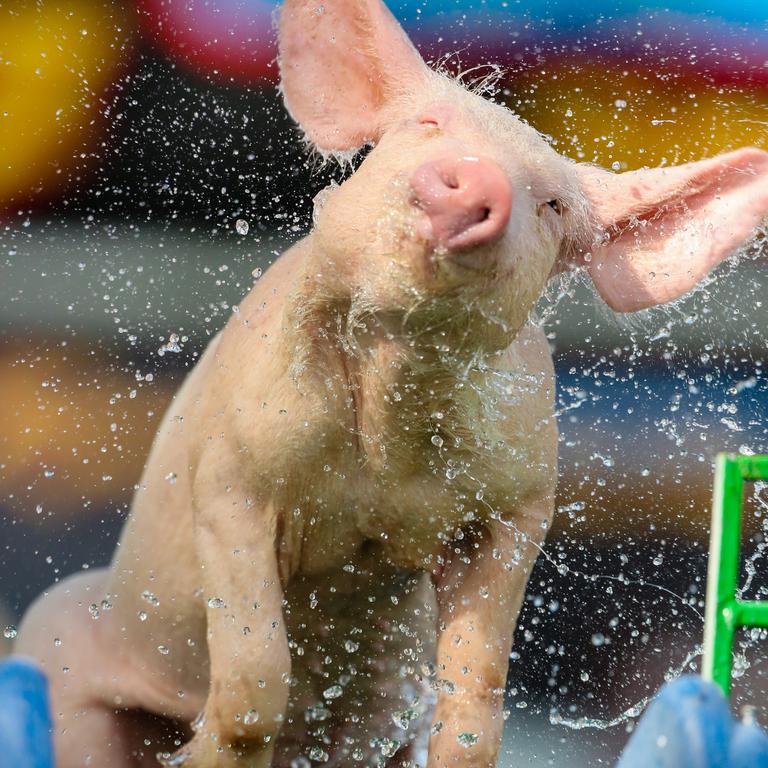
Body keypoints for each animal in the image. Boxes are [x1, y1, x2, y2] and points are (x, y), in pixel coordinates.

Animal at [15, 1, 768, 768]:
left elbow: (474, 701)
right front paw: (196, 756)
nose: (478, 179)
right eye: (427, 125)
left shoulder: (519, 504)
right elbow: (256, 671)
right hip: (60, 648)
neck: (384, 431)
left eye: (553, 204)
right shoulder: (232, 469)